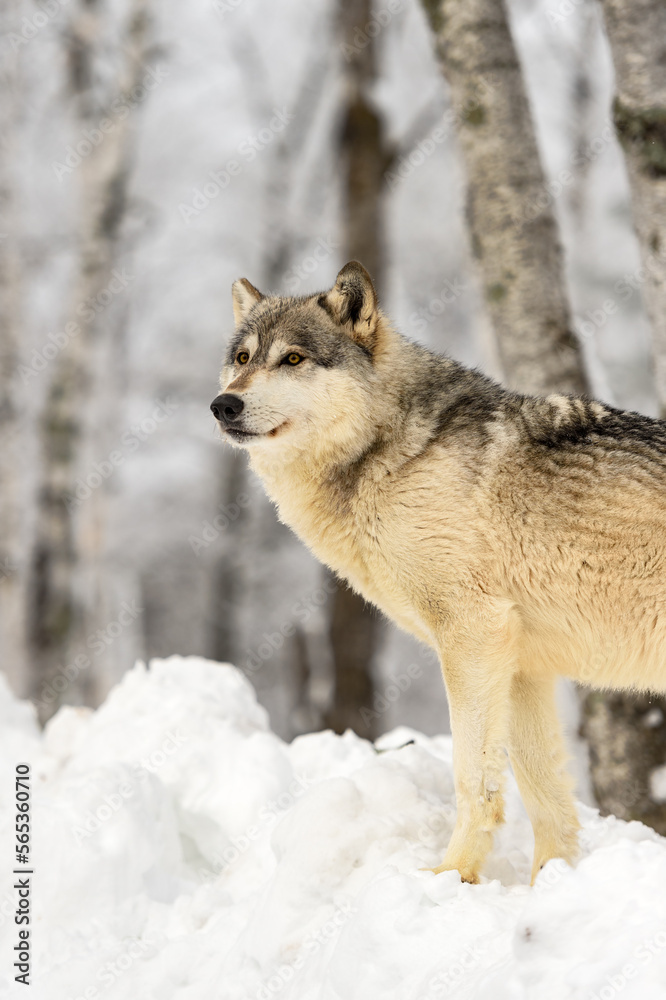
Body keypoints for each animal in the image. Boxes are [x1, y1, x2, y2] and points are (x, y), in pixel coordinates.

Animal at [211, 260, 666, 884]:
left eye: (294, 359)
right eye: (243, 357)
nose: (223, 406)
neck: (393, 452)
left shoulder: (472, 635)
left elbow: (472, 776)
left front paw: (451, 877)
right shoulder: (523, 665)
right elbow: (543, 795)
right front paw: (549, 883)